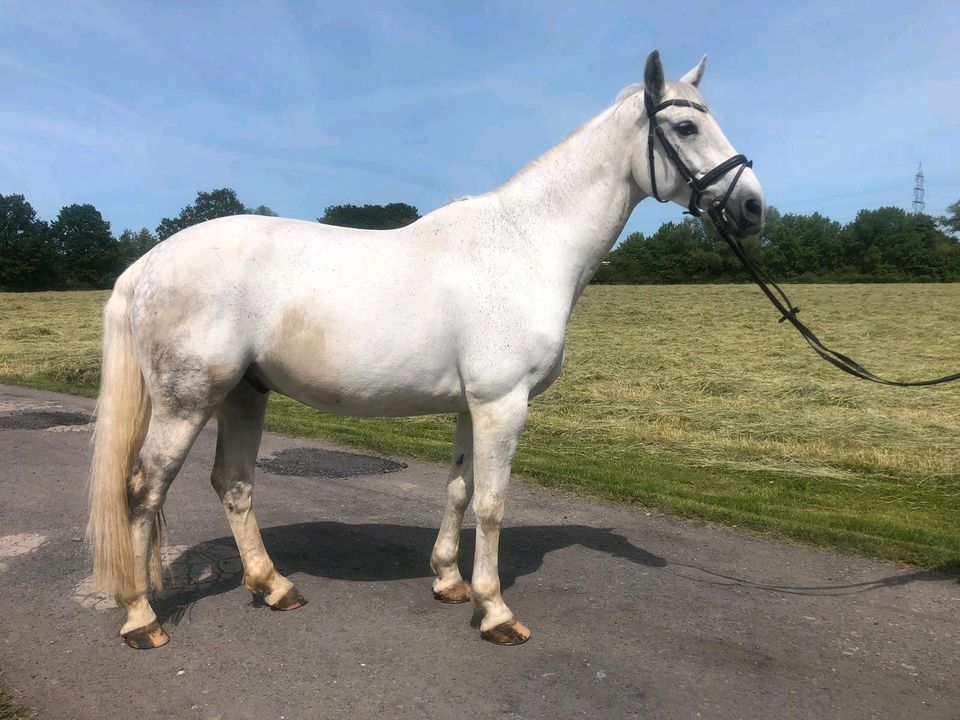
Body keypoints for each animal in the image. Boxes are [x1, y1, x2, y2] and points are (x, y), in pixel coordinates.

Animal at [90, 50, 764, 648]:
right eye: (686, 126)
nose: (753, 206)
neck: (528, 244)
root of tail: (151, 261)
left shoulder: (473, 406)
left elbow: (459, 491)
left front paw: (448, 581)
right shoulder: (502, 404)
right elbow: (491, 504)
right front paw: (495, 611)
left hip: (242, 395)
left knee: (233, 484)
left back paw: (274, 586)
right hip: (187, 402)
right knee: (143, 489)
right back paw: (141, 618)